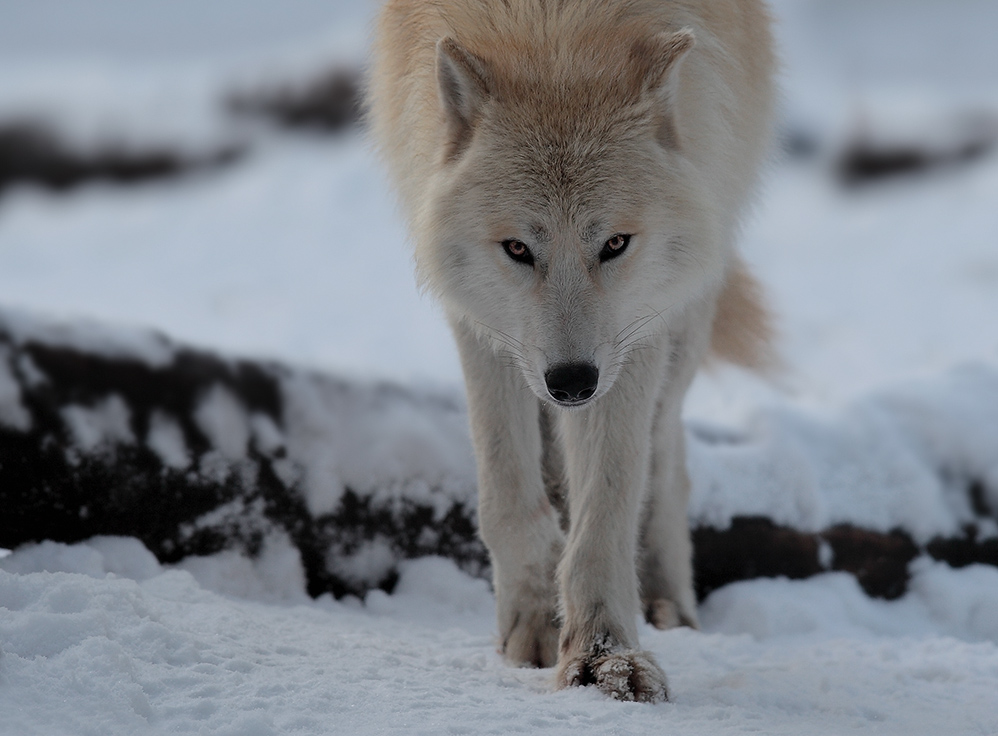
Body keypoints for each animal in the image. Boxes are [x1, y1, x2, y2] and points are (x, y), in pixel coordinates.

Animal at [372, 0, 776, 700]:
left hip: (686, 303)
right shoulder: (482, 319)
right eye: (517, 248)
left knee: (666, 454)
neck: (553, 26)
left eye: (613, 243)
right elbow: (508, 497)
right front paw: (534, 624)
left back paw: (668, 600)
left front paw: (603, 657)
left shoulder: (635, 332)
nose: (571, 382)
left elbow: (608, 508)